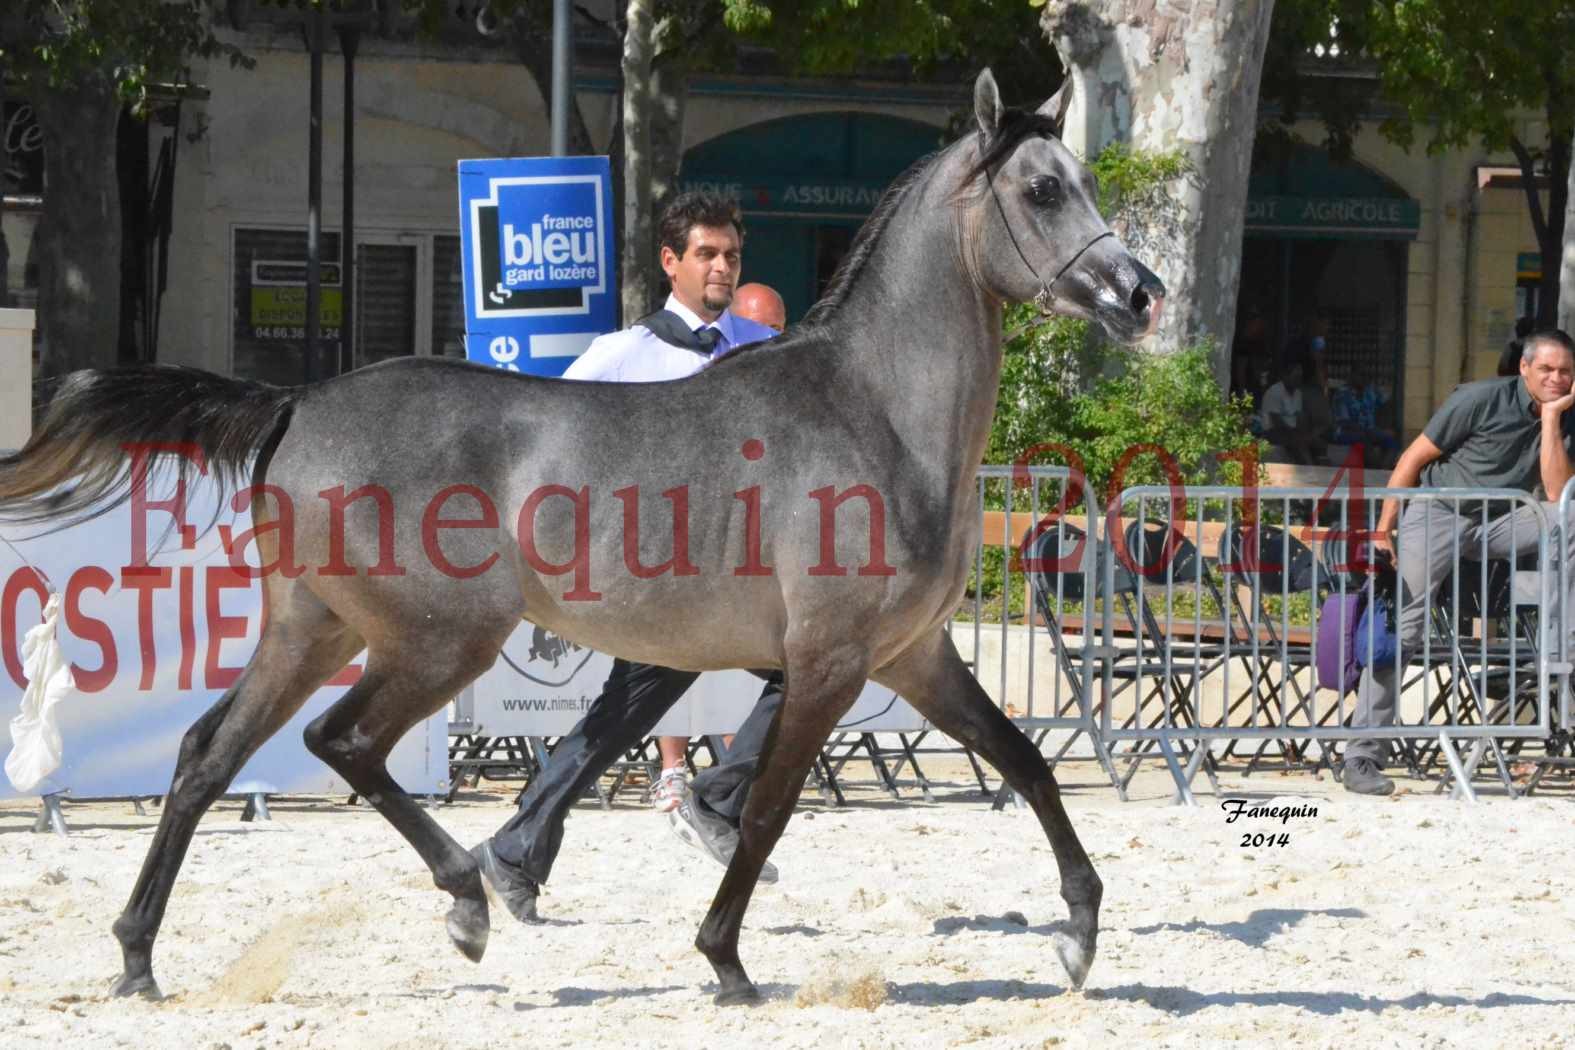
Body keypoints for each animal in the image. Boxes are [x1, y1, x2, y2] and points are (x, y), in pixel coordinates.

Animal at [0, 69, 1159, 1007]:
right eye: (1043, 190)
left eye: (1084, 179)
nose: (1140, 295)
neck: (872, 408)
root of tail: (296, 401)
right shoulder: (828, 661)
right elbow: (771, 809)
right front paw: (725, 959)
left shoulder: (912, 657)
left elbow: (1029, 764)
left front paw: (1080, 934)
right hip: (437, 640)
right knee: (342, 743)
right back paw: (468, 899)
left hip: (313, 629)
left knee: (207, 754)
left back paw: (139, 956)